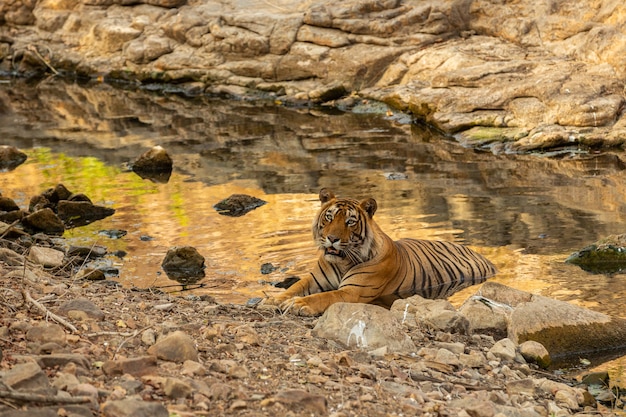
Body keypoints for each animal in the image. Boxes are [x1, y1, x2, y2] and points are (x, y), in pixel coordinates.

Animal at [260, 188, 494, 316]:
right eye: (329, 217)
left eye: (350, 221)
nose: (332, 238)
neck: (342, 262)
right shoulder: (313, 279)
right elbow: (293, 288)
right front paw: (273, 300)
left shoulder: (352, 292)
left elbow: (325, 297)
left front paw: (299, 304)